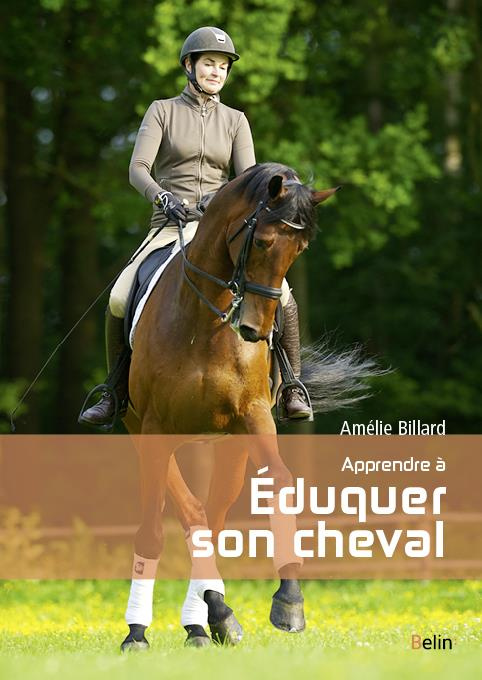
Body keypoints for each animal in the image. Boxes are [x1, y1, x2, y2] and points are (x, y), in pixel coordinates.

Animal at [120, 162, 377, 650]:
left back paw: (207, 620)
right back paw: (200, 616)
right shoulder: (154, 430)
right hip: (147, 433)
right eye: (261, 242)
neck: (206, 319)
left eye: (299, 249)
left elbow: (279, 483)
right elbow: (155, 528)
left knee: (211, 519)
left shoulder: (254, 418)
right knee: (193, 515)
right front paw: (137, 633)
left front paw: (288, 603)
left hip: (231, 446)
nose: (256, 330)